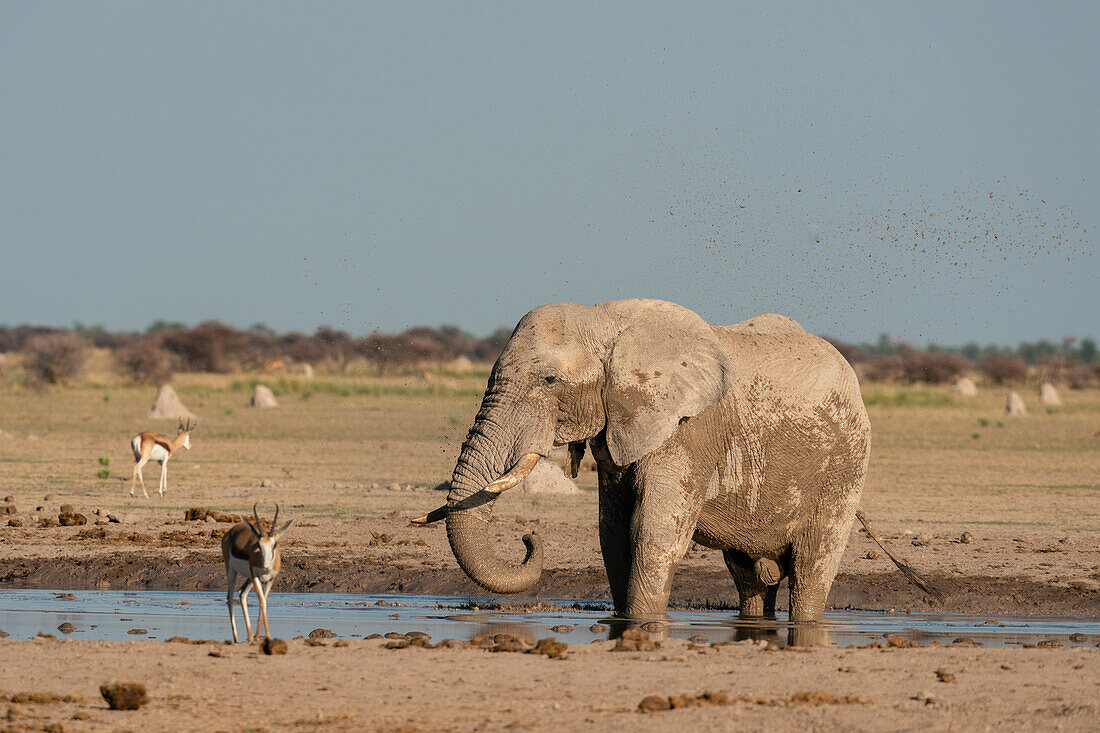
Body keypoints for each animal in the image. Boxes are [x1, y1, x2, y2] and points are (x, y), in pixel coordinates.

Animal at [220, 501, 292, 638]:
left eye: (274, 544)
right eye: (258, 545)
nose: (266, 566)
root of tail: (231, 531)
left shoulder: (270, 579)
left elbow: (263, 602)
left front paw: (259, 636)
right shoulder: (256, 577)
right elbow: (262, 602)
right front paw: (267, 636)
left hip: (248, 578)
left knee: (242, 593)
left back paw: (251, 637)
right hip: (232, 571)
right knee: (230, 598)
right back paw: (236, 638)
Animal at [415, 299, 871, 620]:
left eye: (550, 380)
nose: (528, 538)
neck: (603, 320)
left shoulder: (686, 433)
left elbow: (652, 533)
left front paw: (642, 621)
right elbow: (613, 532)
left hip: (844, 467)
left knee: (812, 568)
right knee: (748, 576)